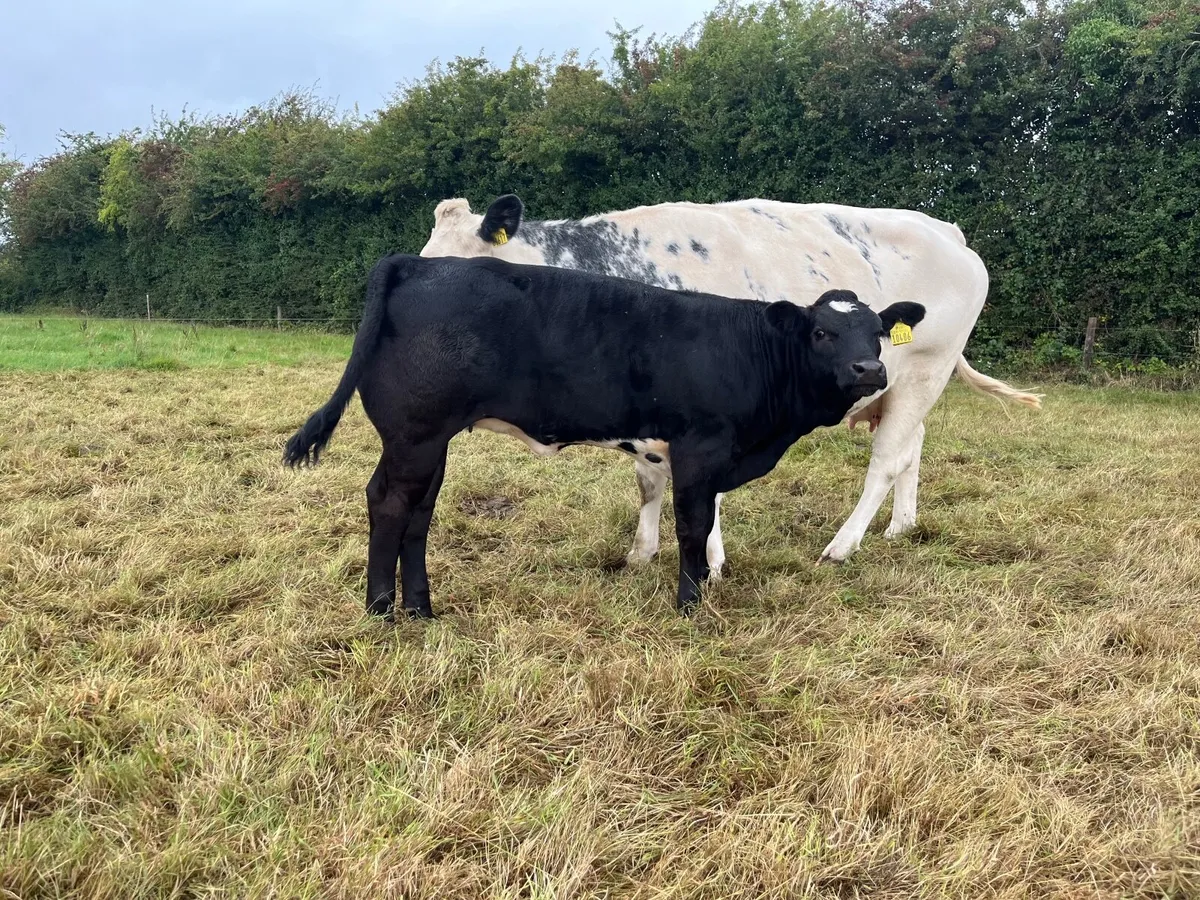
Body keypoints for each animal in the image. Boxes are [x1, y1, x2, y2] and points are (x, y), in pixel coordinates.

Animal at [283, 253, 926, 618]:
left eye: (876, 332)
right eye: (821, 332)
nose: (869, 370)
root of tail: (415, 264)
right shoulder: (700, 448)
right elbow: (693, 527)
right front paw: (690, 606)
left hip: (430, 439)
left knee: (417, 512)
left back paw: (420, 608)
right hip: (413, 435)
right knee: (390, 503)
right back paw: (381, 612)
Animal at [419, 194, 1042, 571]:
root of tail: (946, 229)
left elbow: (701, 488)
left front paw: (710, 562)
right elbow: (649, 483)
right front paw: (641, 554)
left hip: (924, 371)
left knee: (888, 460)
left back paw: (842, 546)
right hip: (902, 388)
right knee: (912, 448)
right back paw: (900, 527)